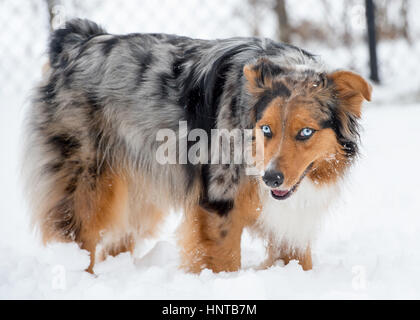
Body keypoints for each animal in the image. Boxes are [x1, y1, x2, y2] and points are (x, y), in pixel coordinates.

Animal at [23, 18, 370, 272]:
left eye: (306, 132)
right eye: (267, 129)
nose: (271, 179)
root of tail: (78, 43)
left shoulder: (287, 219)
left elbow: (297, 261)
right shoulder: (218, 205)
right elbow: (223, 263)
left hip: (136, 190)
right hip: (85, 184)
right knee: (77, 239)